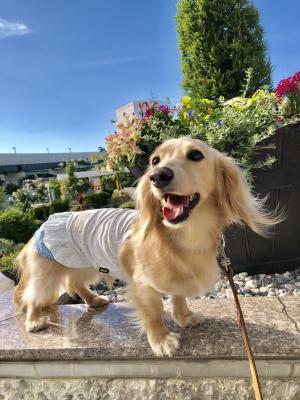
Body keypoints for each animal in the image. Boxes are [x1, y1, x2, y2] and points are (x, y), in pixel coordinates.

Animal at [12, 138, 278, 356]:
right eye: (155, 161)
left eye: (195, 155)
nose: (158, 176)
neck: (183, 236)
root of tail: (42, 224)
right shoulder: (142, 284)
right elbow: (154, 310)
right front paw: (161, 340)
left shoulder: (177, 278)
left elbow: (178, 297)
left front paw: (185, 317)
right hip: (46, 271)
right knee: (33, 295)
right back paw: (34, 320)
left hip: (84, 264)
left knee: (74, 283)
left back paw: (94, 300)